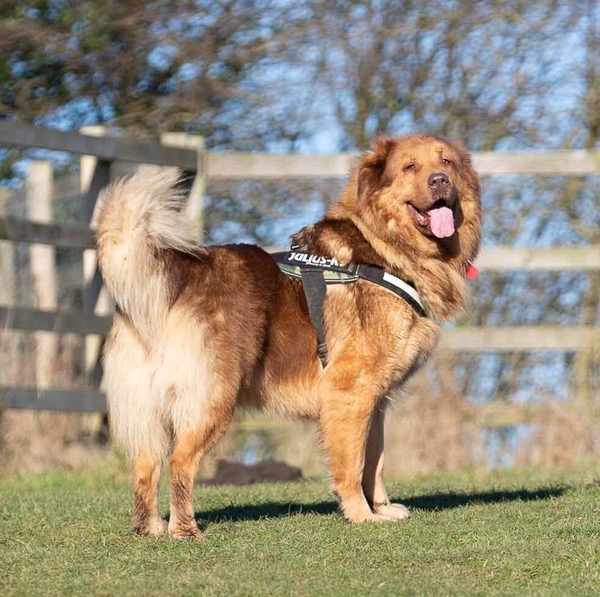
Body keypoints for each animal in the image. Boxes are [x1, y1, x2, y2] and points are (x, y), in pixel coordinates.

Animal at [98, 136, 482, 540]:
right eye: (410, 167)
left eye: (446, 162)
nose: (440, 181)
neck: (384, 248)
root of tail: (174, 276)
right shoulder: (350, 393)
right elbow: (352, 463)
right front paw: (361, 514)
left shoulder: (376, 400)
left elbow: (374, 460)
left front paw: (381, 507)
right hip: (213, 400)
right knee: (180, 462)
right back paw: (185, 530)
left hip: (149, 413)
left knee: (146, 466)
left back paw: (152, 528)